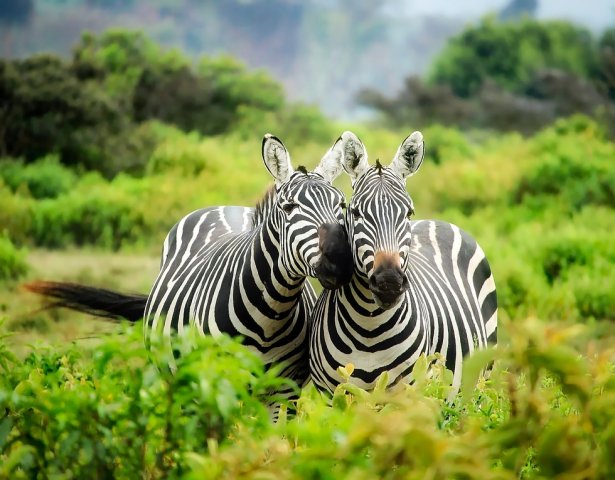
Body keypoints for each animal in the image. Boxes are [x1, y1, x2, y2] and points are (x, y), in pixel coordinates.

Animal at [26, 133, 354, 404]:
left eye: (341, 205)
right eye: (288, 208)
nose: (340, 260)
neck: (270, 314)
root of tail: (225, 207)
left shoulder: (285, 391)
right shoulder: (216, 383)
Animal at [310, 130, 498, 398]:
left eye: (408, 213)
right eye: (355, 213)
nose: (389, 282)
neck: (368, 328)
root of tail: (438, 221)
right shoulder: (331, 396)